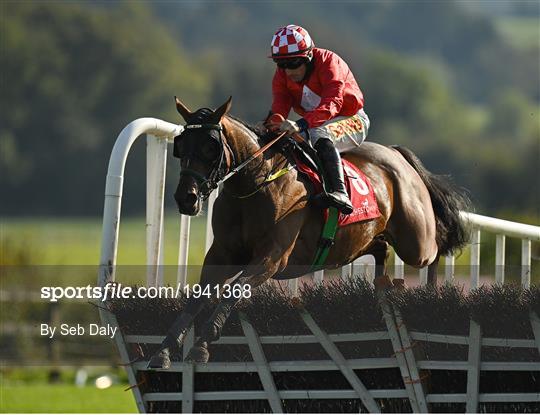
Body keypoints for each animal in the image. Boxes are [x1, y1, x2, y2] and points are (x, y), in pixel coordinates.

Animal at [148, 98, 468, 370]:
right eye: (180, 146)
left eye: (211, 147)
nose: (186, 198)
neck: (256, 184)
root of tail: (396, 153)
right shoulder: (222, 254)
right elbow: (197, 298)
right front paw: (163, 350)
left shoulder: (272, 257)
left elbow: (233, 291)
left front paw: (201, 345)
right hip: (362, 240)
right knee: (381, 249)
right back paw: (384, 285)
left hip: (416, 241)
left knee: (435, 249)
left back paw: (431, 292)